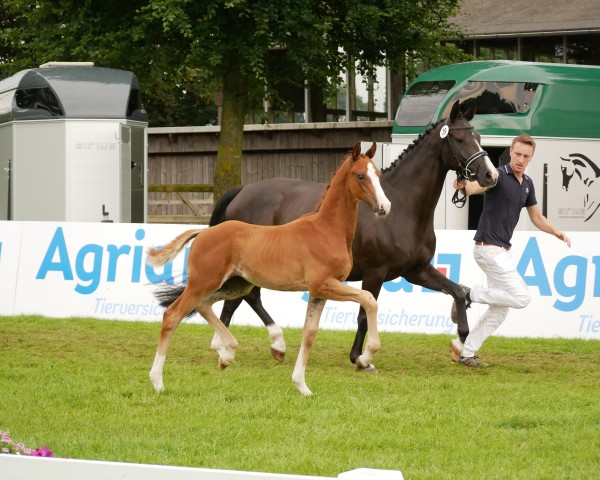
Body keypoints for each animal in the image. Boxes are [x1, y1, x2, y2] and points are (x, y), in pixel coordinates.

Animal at [145, 141, 390, 396]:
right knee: (173, 315)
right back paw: (157, 381)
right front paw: (365, 357)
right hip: (203, 282)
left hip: (236, 284)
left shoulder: (319, 292)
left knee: (205, 306)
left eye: (378, 174)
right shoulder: (323, 284)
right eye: (360, 175)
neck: (327, 230)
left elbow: (309, 334)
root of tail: (202, 232)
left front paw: (302, 385)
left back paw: (227, 354)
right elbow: (369, 299)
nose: (385, 207)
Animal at [209, 101, 500, 370]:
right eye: (460, 139)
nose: (490, 175)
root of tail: (243, 190)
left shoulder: (416, 270)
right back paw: (257, 344)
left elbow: (458, 292)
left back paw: (243, 344)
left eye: (479, 137)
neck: (403, 206)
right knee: (244, 299)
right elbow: (364, 313)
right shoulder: (375, 273)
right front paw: (360, 358)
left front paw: (459, 344)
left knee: (240, 299)